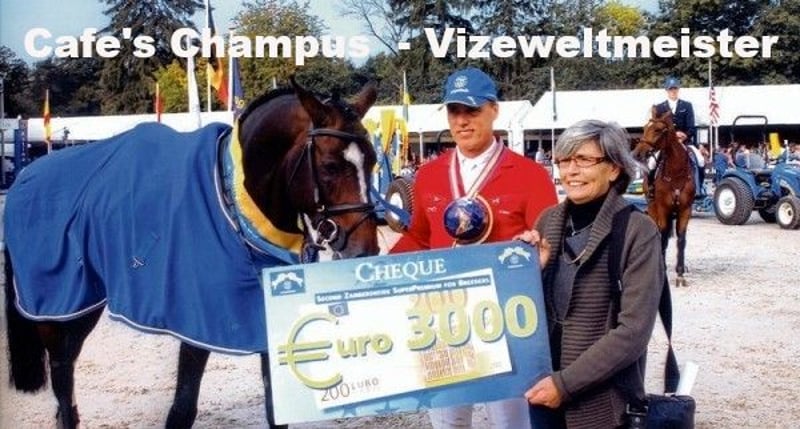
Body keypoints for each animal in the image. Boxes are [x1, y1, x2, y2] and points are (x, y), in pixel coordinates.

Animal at [3, 76, 379, 428]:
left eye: (374, 161)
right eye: (330, 166)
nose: (364, 251)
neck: (233, 204)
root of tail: (28, 174)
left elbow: (276, 410)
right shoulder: (197, 321)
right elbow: (182, 409)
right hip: (60, 308)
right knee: (63, 379)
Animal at [631, 106, 696, 287]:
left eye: (658, 130)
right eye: (644, 128)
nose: (637, 154)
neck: (676, 174)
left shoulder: (685, 210)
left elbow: (681, 240)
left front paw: (680, 274)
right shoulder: (662, 209)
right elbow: (663, 237)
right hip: (652, 208)